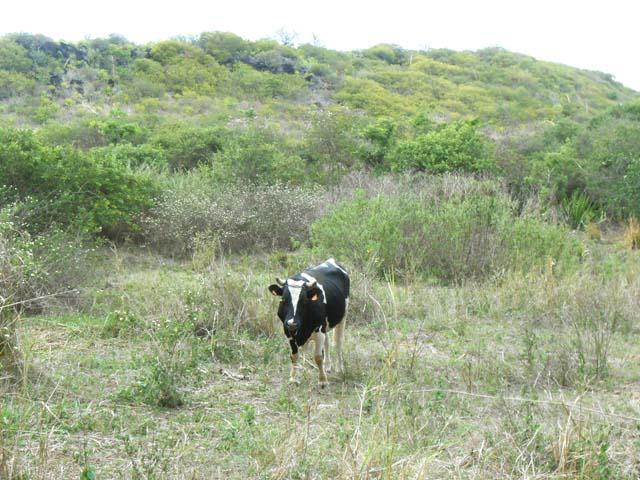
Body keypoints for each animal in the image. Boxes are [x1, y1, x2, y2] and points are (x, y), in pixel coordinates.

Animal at [268, 258, 350, 387]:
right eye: (283, 299)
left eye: (304, 300)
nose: (292, 323)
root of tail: (331, 261)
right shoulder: (288, 331)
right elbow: (294, 356)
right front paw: (293, 378)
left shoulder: (319, 331)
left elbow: (318, 357)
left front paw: (322, 380)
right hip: (325, 325)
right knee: (327, 342)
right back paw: (327, 367)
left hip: (343, 317)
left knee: (338, 342)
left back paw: (339, 369)